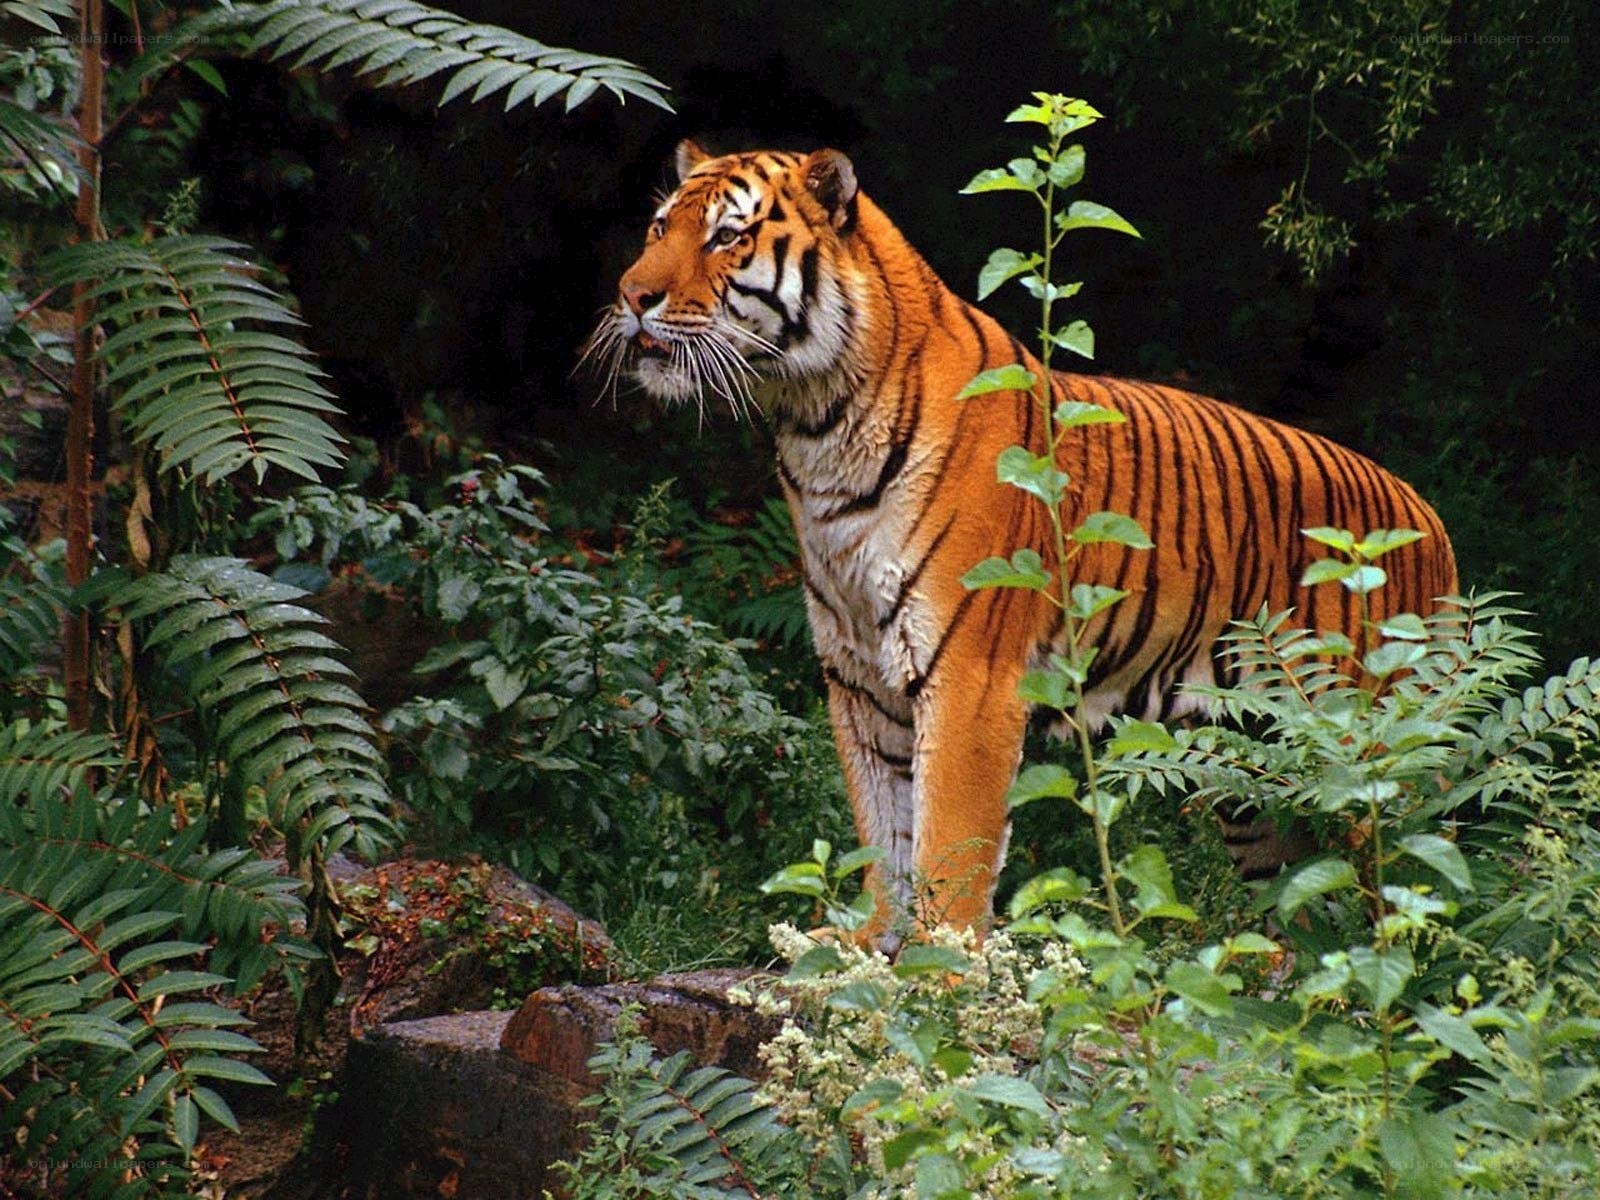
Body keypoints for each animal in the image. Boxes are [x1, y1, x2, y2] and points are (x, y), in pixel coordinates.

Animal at [587, 139, 1458, 948]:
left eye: (727, 236)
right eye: (659, 227)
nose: (630, 295)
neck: (816, 427)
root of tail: (1430, 519)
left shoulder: (970, 676)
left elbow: (948, 844)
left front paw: (942, 971)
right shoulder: (859, 681)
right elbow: (883, 832)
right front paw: (869, 948)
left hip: (1365, 755)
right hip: (1255, 774)